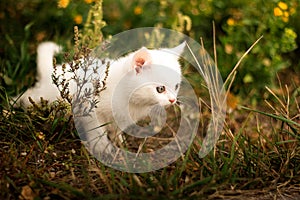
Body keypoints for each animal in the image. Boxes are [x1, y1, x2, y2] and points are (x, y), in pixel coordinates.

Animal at [15, 41, 186, 155]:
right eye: (160, 89)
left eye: (176, 86)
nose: (173, 100)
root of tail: (52, 73)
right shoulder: (89, 110)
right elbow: (96, 131)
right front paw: (102, 147)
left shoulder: (121, 118)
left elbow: (116, 130)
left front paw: (119, 142)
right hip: (43, 98)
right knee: (27, 96)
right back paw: (12, 107)